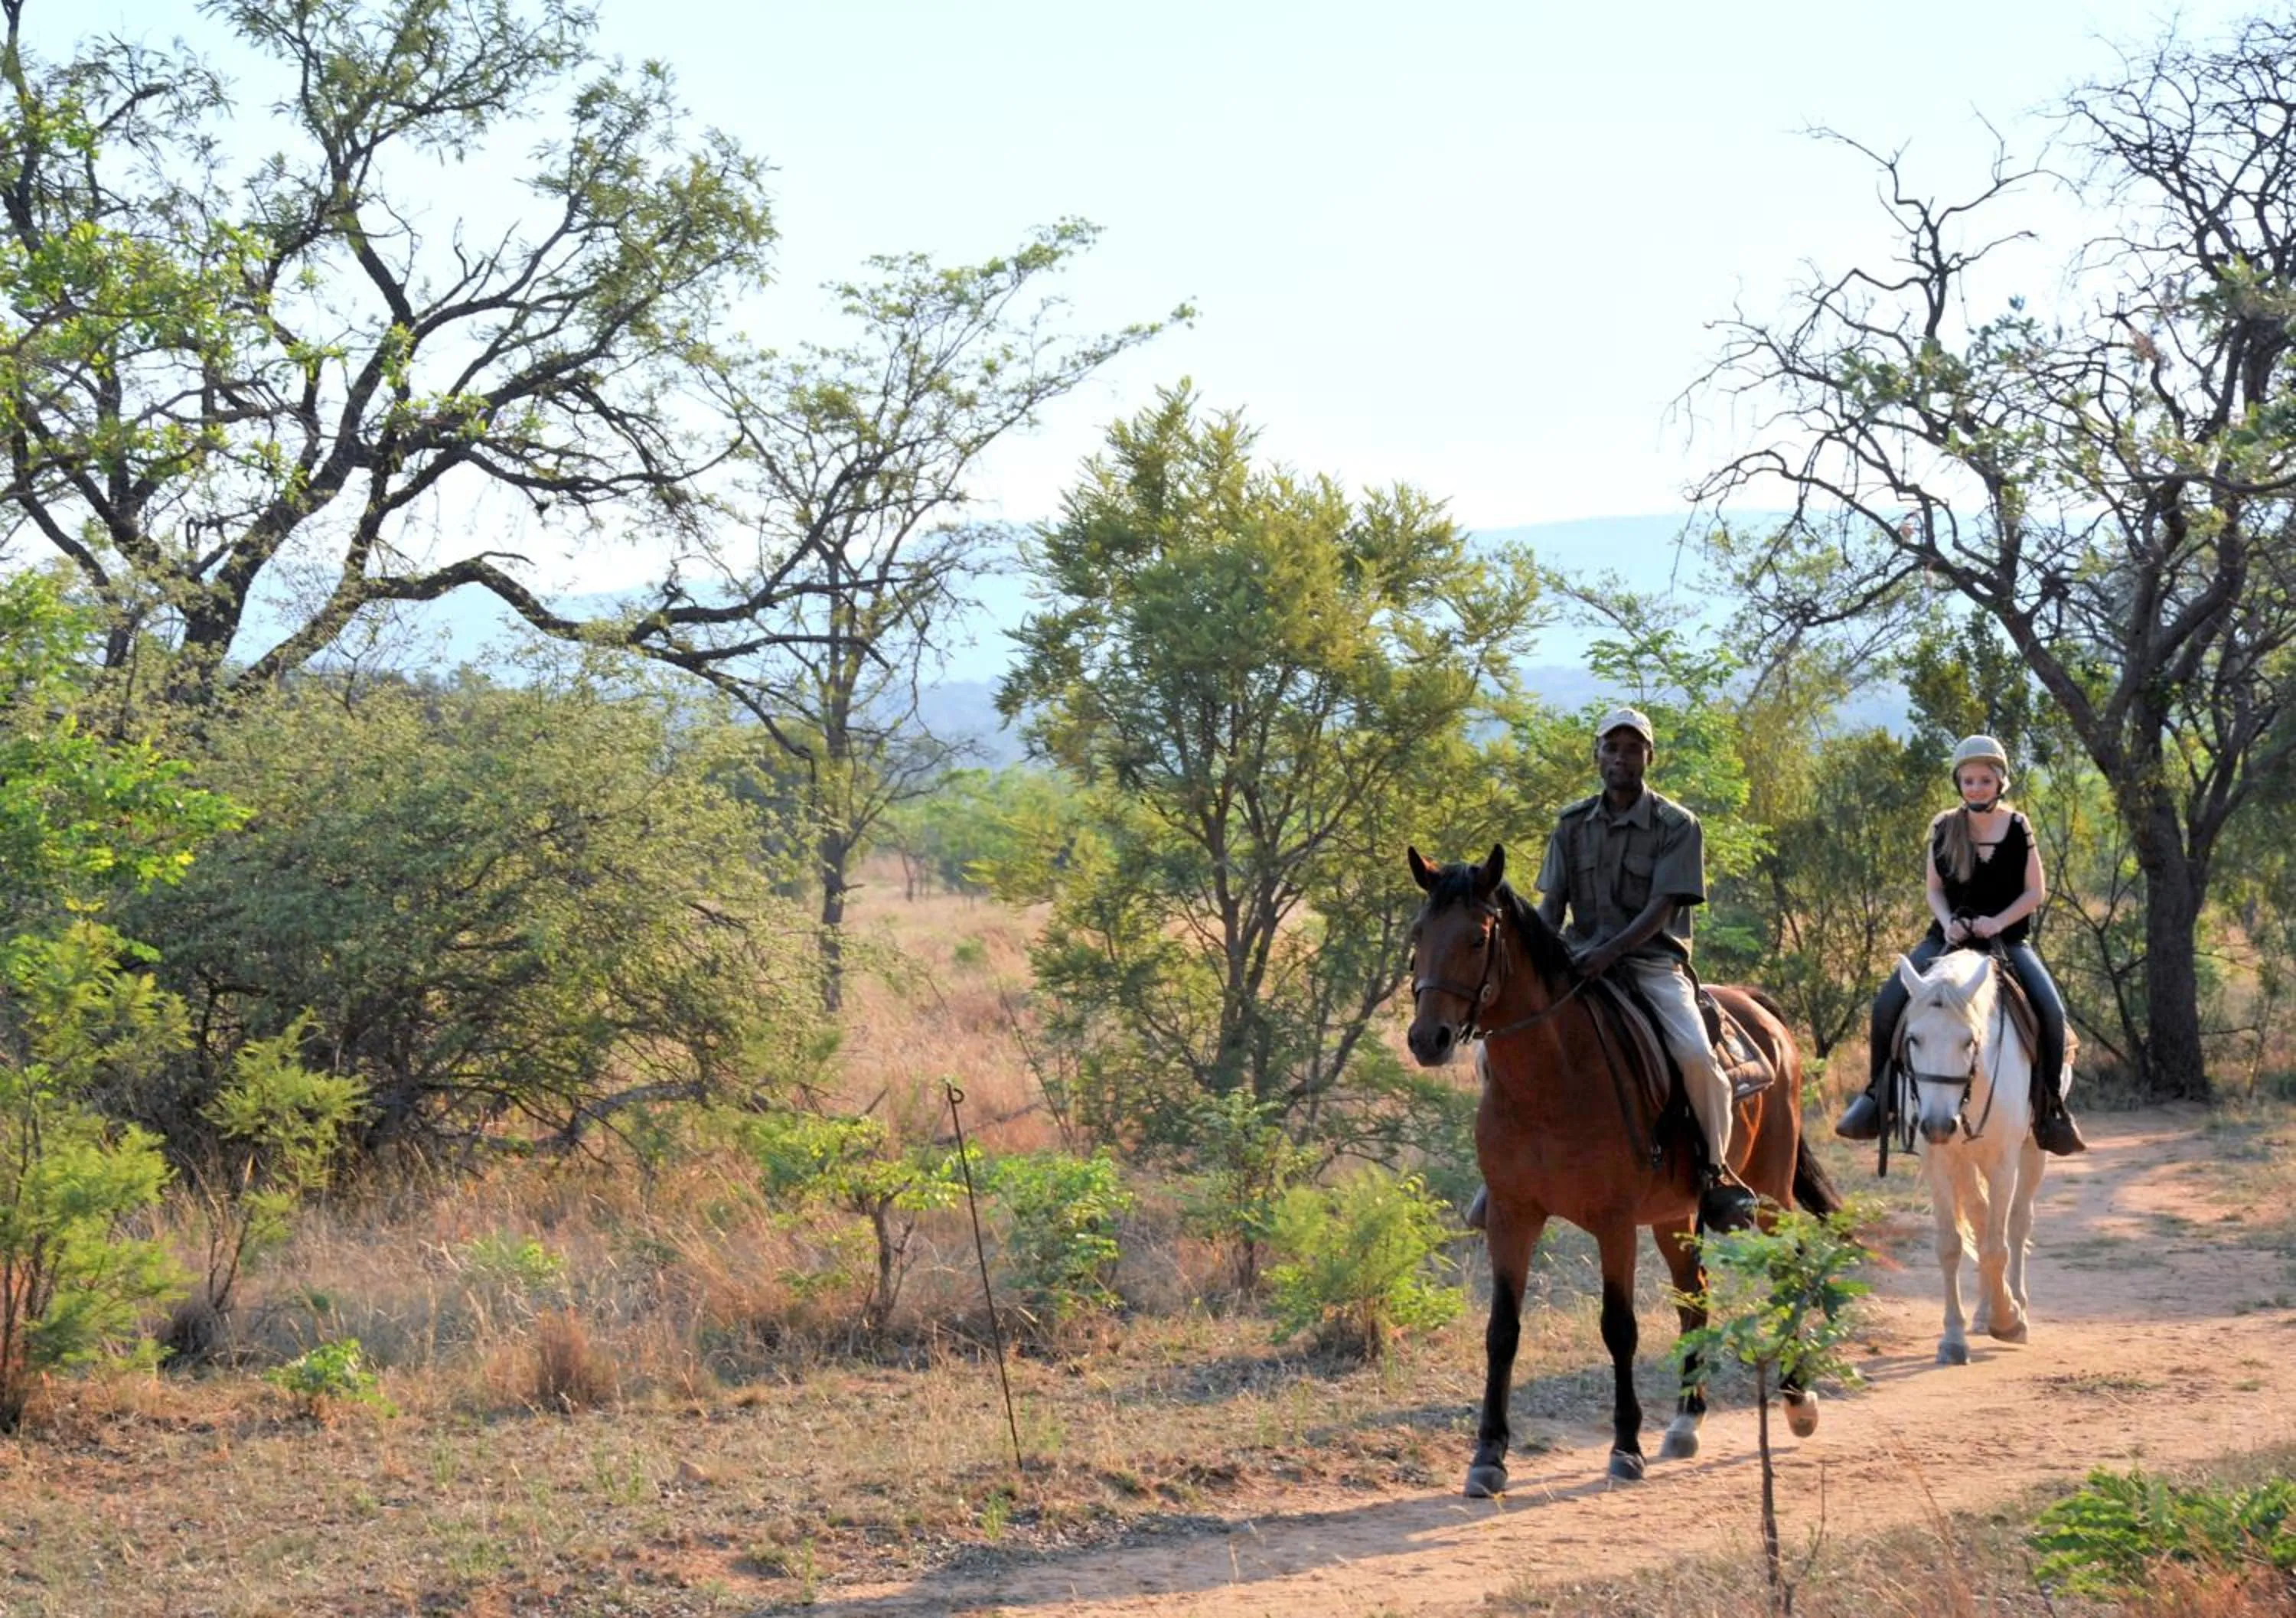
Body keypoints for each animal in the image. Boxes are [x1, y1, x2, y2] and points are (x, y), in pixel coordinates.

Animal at [1405, 842, 1840, 1493]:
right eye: (1419, 933)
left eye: (1477, 939)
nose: (1426, 1039)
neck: (1551, 1079)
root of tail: (1759, 1011)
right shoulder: (1512, 1216)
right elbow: (1502, 1332)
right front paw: (1488, 1456)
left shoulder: (1613, 1222)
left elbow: (1619, 1327)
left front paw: (1625, 1446)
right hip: (1676, 1215)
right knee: (1694, 1295)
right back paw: (1686, 1422)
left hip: (1769, 1196)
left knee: (1788, 1267)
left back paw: (1797, 1399)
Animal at [1892, 947, 2063, 1365]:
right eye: (1914, 1038)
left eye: (1969, 1041)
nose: (1939, 1124)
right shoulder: (1938, 1161)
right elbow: (1952, 1244)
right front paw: (1953, 1338)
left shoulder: (2003, 1161)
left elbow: (1997, 1246)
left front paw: (2010, 1321)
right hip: (1965, 1162)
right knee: (1980, 1216)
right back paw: (1986, 1311)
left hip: (2032, 1152)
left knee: (2017, 1223)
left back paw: (2015, 1306)